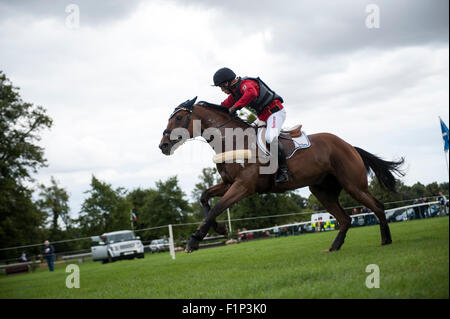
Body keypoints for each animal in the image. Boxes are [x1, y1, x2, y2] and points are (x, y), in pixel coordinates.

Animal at [158, 99, 404, 254]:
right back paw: (334, 247)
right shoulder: (228, 183)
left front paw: (194, 241)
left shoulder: (243, 186)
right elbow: (204, 198)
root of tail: (348, 145)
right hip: (321, 190)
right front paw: (218, 230)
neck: (232, 140)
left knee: (377, 206)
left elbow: (217, 207)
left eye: (179, 118)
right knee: (345, 219)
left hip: (353, 185)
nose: (163, 145)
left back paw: (386, 239)